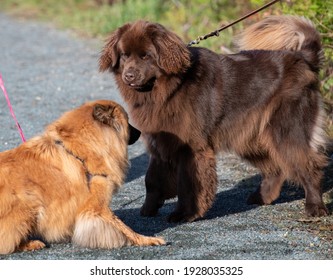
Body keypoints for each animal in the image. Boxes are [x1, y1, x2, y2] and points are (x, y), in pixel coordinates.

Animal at [0, 99, 164, 255]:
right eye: (127, 121)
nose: (140, 132)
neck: (82, 150)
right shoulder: (97, 206)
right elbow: (124, 227)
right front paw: (147, 239)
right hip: (29, 206)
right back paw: (30, 244)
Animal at [98, 15, 326, 223]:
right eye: (124, 55)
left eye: (146, 56)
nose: (129, 75)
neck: (167, 88)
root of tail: (302, 58)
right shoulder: (160, 141)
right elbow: (151, 179)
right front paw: (148, 209)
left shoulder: (191, 147)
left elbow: (188, 183)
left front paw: (185, 214)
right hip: (250, 135)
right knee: (275, 168)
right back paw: (262, 197)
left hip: (285, 129)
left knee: (308, 165)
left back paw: (315, 207)